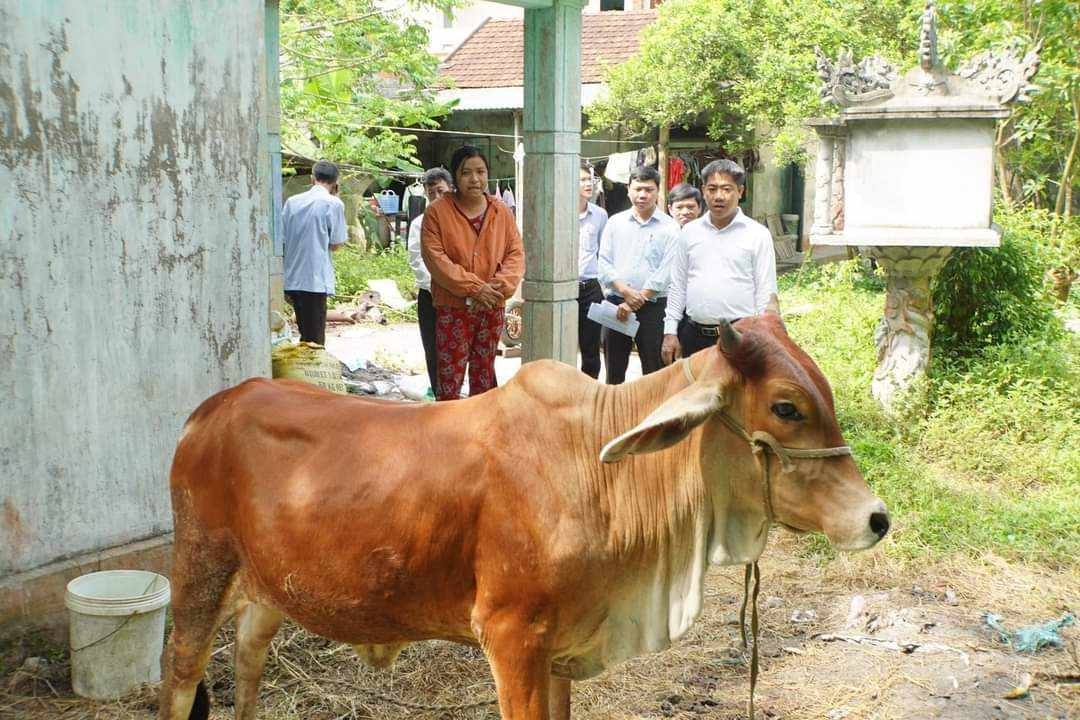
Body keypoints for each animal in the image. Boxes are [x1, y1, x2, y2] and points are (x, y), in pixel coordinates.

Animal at [157, 308, 885, 720]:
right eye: (787, 407)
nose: (877, 518)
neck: (599, 466)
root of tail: (212, 407)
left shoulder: (560, 649)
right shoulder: (511, 636)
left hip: (269, 591)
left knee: (246, 666)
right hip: (200, 570)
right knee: (179, 678)